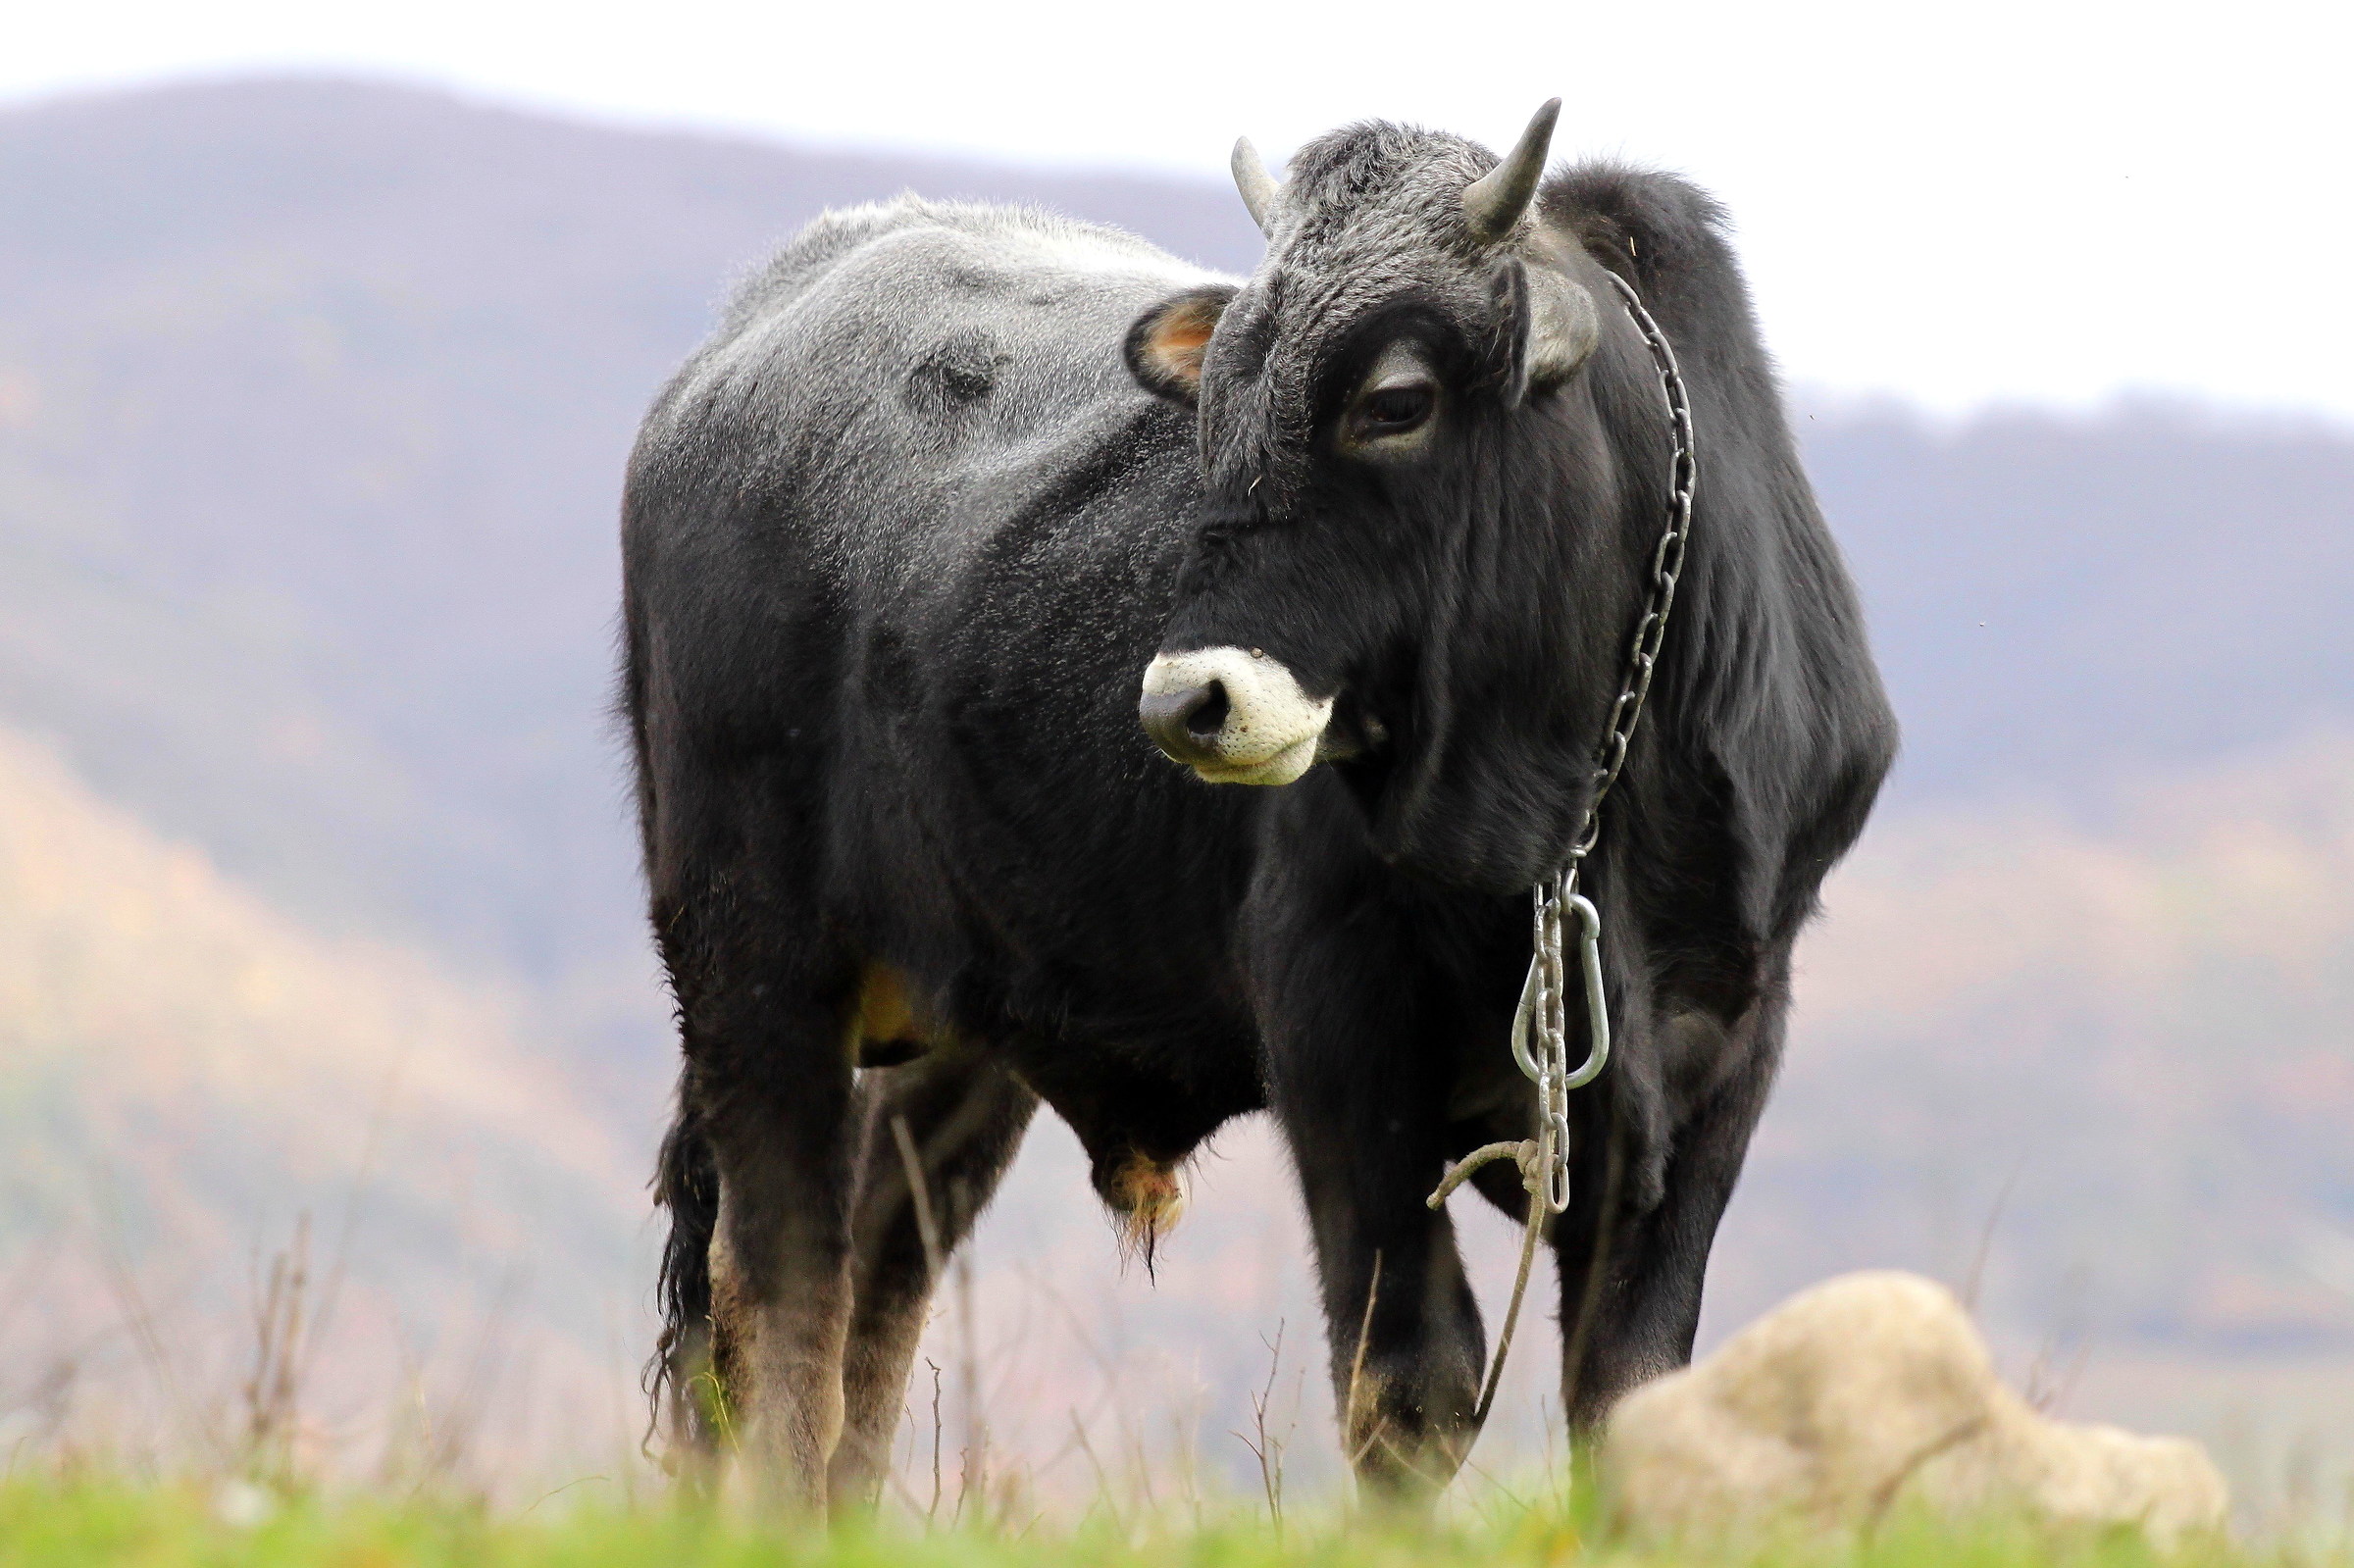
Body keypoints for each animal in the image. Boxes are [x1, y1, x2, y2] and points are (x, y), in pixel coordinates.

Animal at [621, 100, 1896, 1513]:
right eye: (1219, 403)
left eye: (1397, 398)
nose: (1190, 699)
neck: (1565, 817)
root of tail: (753, 334)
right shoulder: (1336, 1027)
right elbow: (1411, 1386)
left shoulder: (1717, 1057)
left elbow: (1634, 1395)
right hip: (748, 959)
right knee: (779, 1286)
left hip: (956, 1024)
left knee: (878, 1278)